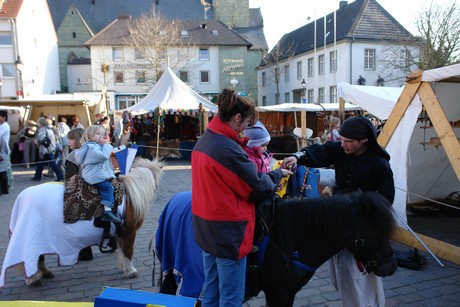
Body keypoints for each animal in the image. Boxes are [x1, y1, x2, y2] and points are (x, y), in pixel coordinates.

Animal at [0, 159, 163, 288]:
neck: (129, 197)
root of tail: (22, 197)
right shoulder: (129, 231)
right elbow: (128, 251)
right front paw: (131, 271)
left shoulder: (120, 233)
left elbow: (123, 251)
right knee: (30, 257)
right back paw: (33, 279)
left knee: (38, 256)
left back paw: (45, 272)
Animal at [154, 191, 396, 306]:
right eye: (376, 232)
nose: (391, 267)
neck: (291, 236)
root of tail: (173, 201)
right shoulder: (276, 293)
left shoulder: (290, 292)